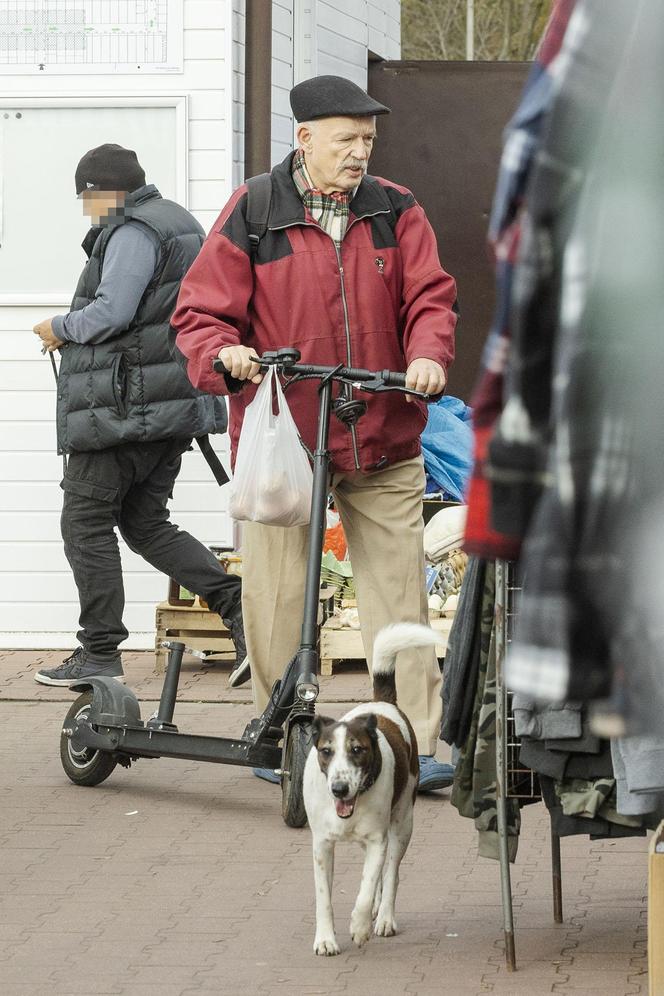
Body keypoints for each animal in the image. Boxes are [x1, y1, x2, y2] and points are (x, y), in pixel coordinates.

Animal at [302, 624, 438, 956]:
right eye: (326, 751)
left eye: (357, 750)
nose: (339, 789)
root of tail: (384, 704)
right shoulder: (321, 845)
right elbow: (324, 898)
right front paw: (325, 939)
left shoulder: (378, 841)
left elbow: (366, 890)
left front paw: (360, 927)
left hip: (402, 824)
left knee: (391, 875)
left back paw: (385, 917)